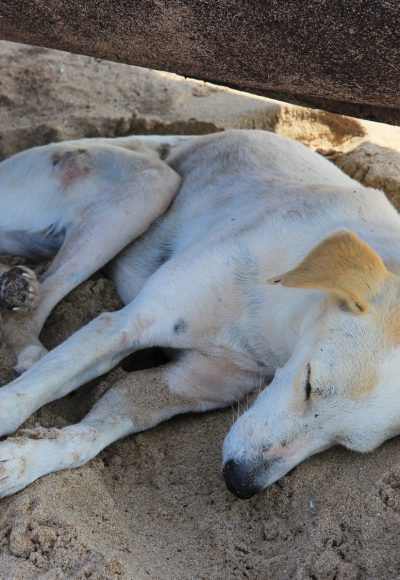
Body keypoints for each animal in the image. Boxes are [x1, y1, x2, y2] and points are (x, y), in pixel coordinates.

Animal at [0, 129, 396, 500]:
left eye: (346, 444)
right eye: (309, 384)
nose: (240, 482)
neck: (279, 322)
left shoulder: (180, 385)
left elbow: (87, 437)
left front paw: (22, 462)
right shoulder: (127, 324)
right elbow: (29, 392)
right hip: (150, 185)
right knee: (32, 306)